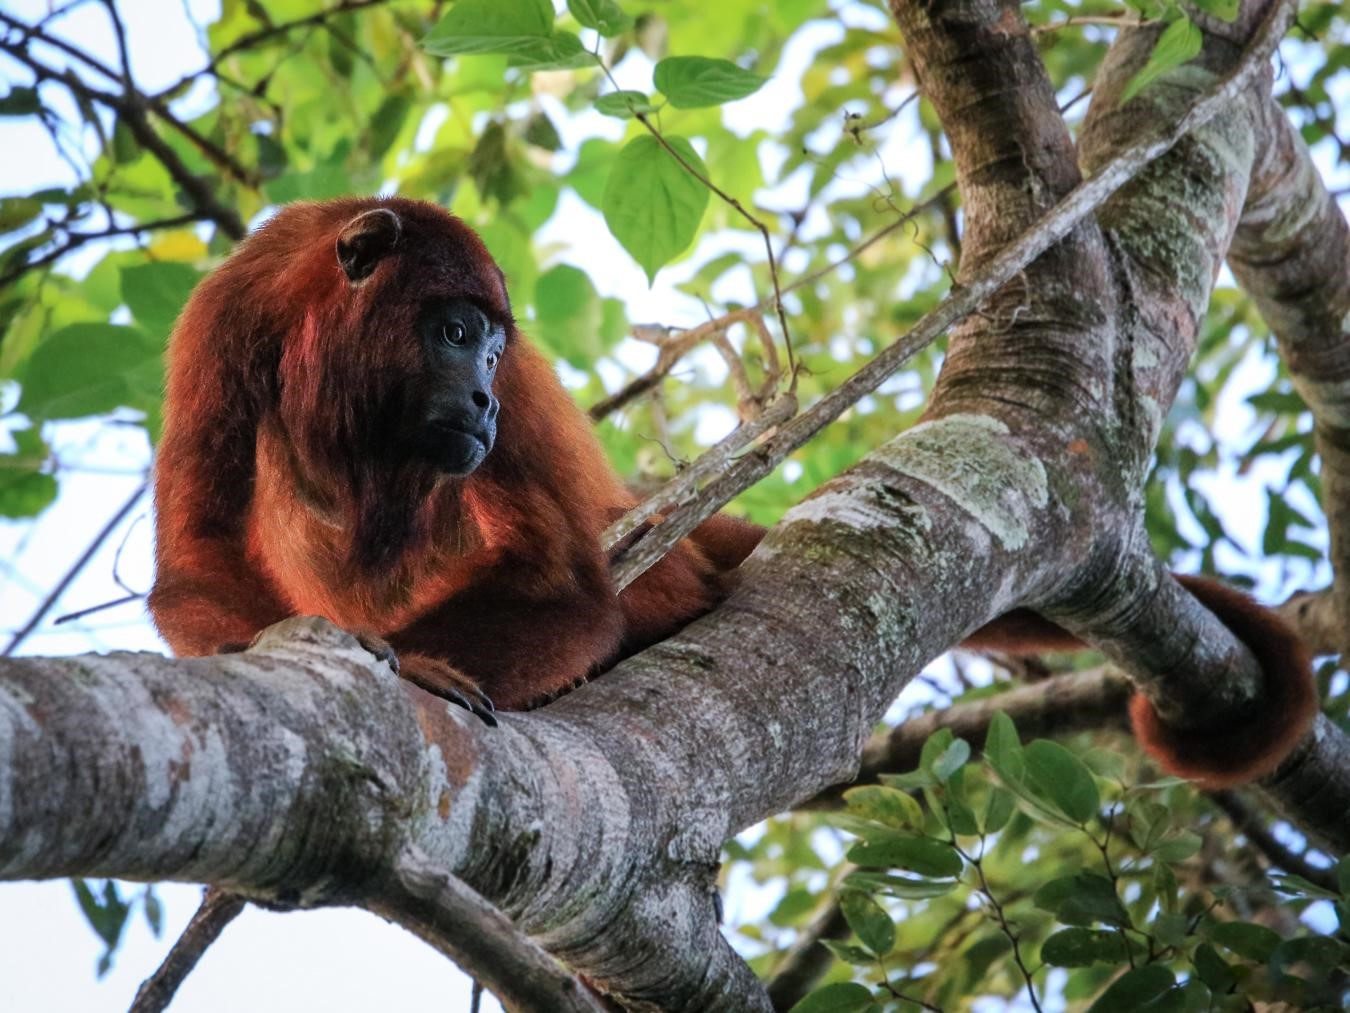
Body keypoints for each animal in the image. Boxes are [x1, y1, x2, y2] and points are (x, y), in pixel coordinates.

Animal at [150, 194, 1317, 788]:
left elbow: (567, 588)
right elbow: (192, 564)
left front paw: (429, 667)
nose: (478, 393)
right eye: (452, 329)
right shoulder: (223, 318)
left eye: (490, 341)